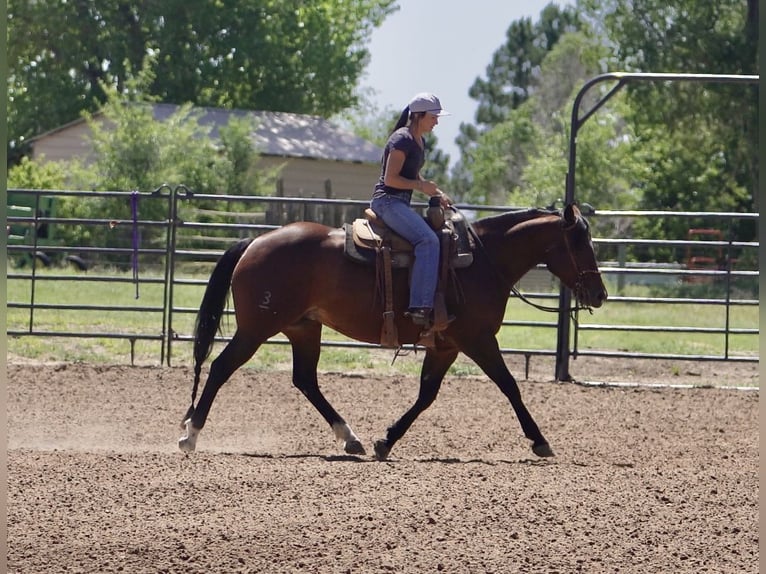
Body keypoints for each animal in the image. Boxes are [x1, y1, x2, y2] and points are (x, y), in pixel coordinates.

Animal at [177, 205, 608, 462]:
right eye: (580, 243)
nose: (600, 294)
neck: (481, 261)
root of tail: (255, 242)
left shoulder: (447, 345)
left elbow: (426, 395)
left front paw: (386, 440)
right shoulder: (478, 339)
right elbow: (509, 386)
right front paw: (539, 440)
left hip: (303, 328)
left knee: (305, 380)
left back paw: (350, 438)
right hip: (256, 329)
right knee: (221, 368)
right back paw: (191, 434)